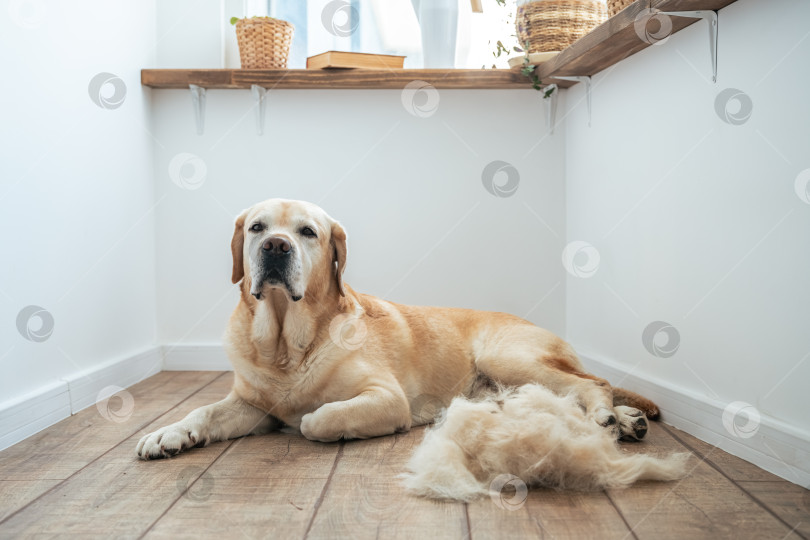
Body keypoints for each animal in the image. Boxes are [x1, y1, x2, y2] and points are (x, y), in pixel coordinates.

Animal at [137, 196, 656, 458]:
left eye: (307, 232)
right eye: (257, 228)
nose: (276, 247)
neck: (288, 343)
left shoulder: (386, 398)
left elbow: (317, 418)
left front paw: (309, 419)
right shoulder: (250, 404)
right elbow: (205, 412)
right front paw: (170, 433)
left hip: (506, 356)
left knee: (593, 383)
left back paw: (608, 417)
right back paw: (629, 419)